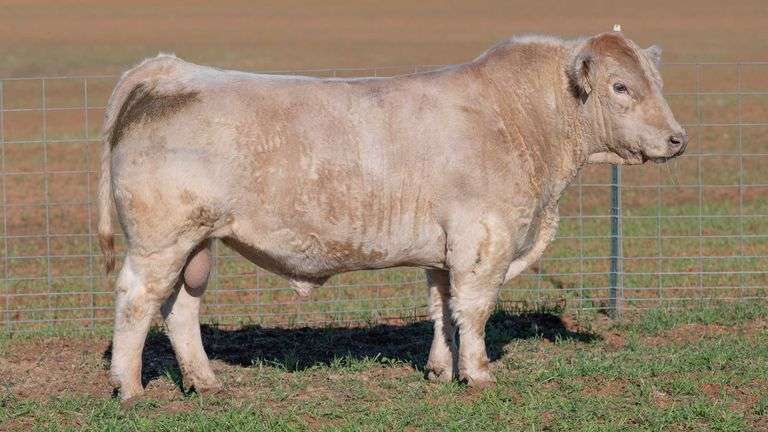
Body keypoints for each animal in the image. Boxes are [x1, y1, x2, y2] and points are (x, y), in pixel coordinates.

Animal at [98, 31, 687, 402]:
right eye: (620, 86)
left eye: (656, 83)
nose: (678, 139)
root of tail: (169, 70)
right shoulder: (484, 239)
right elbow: (474, 310)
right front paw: (479, 375)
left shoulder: (445, 252)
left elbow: (442, 310)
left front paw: (440, 370)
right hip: (160, 241)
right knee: (136, 300)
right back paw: (130, 388)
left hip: (195, 244)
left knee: (180, 308)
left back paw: (205, 381)